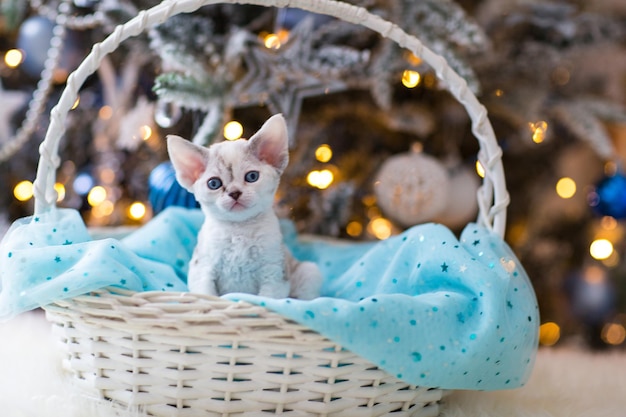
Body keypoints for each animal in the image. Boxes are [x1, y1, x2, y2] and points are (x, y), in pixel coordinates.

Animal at [166, 114, 322, 300]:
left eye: (252, 176)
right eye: (214, 183)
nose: (234, 193)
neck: (238, 231)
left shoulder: (274, 273)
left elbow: (267, 299)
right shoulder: (202, 269)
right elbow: (207, 295)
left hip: (309, 270)